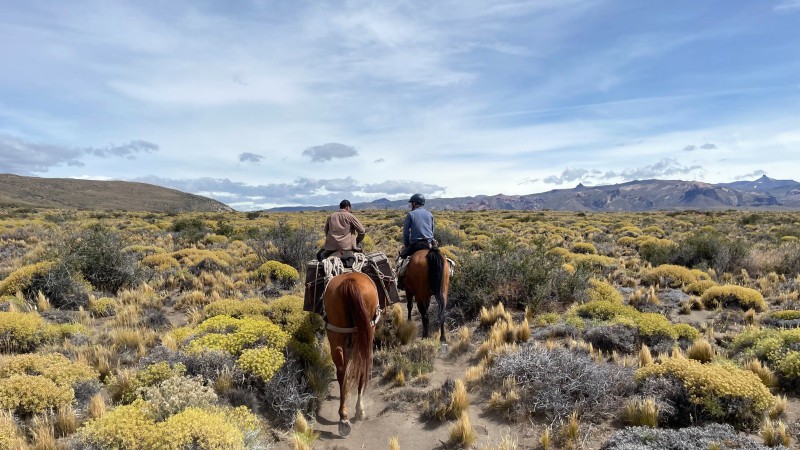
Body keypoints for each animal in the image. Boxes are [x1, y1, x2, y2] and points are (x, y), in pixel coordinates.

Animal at [322, 270, 378, 436]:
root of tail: (349, 282)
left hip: (336, 333)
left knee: (342, 369)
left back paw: (344, 418)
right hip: (364, 331)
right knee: (360, 365)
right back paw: (357, 411)